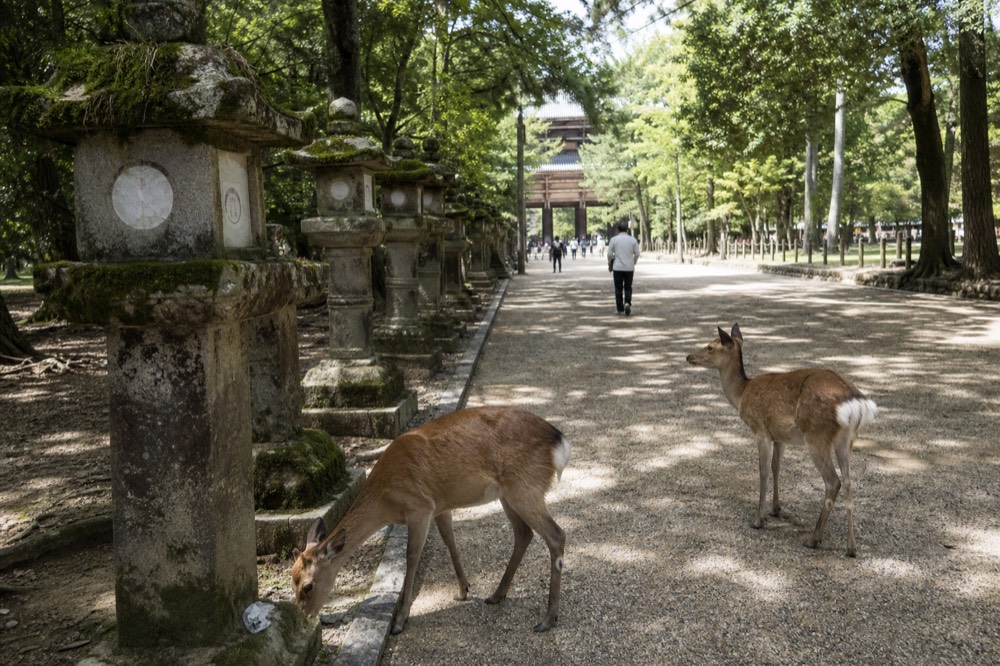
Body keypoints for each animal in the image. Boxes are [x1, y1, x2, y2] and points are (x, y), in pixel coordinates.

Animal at [290, 406, 570, 634]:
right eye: (291, 581)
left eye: (308, 586)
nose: (306, 617)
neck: (386, 499)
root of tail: (561, 441)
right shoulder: (439, 506)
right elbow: (450, 542)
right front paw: (463, 590)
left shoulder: (419, 507)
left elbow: (411, 557)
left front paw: (400, 620)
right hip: (508, 493)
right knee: (523, 533)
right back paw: (496, 595)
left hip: (525, 486)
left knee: (556, 534)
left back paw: (547, 619)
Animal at [686, 324, 877, 557]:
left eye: (710, 347)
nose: (689, 356)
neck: (742, 394)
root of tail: (855, 403)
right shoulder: (780, 436)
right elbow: (776, 468)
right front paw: (776, 509)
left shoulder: (760, 429)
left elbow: (763, 472)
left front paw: (759, 519)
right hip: (846, 439)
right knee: (849, 481)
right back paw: (851, 548)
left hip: (816, 435)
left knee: (834, 481)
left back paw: (814, 539)